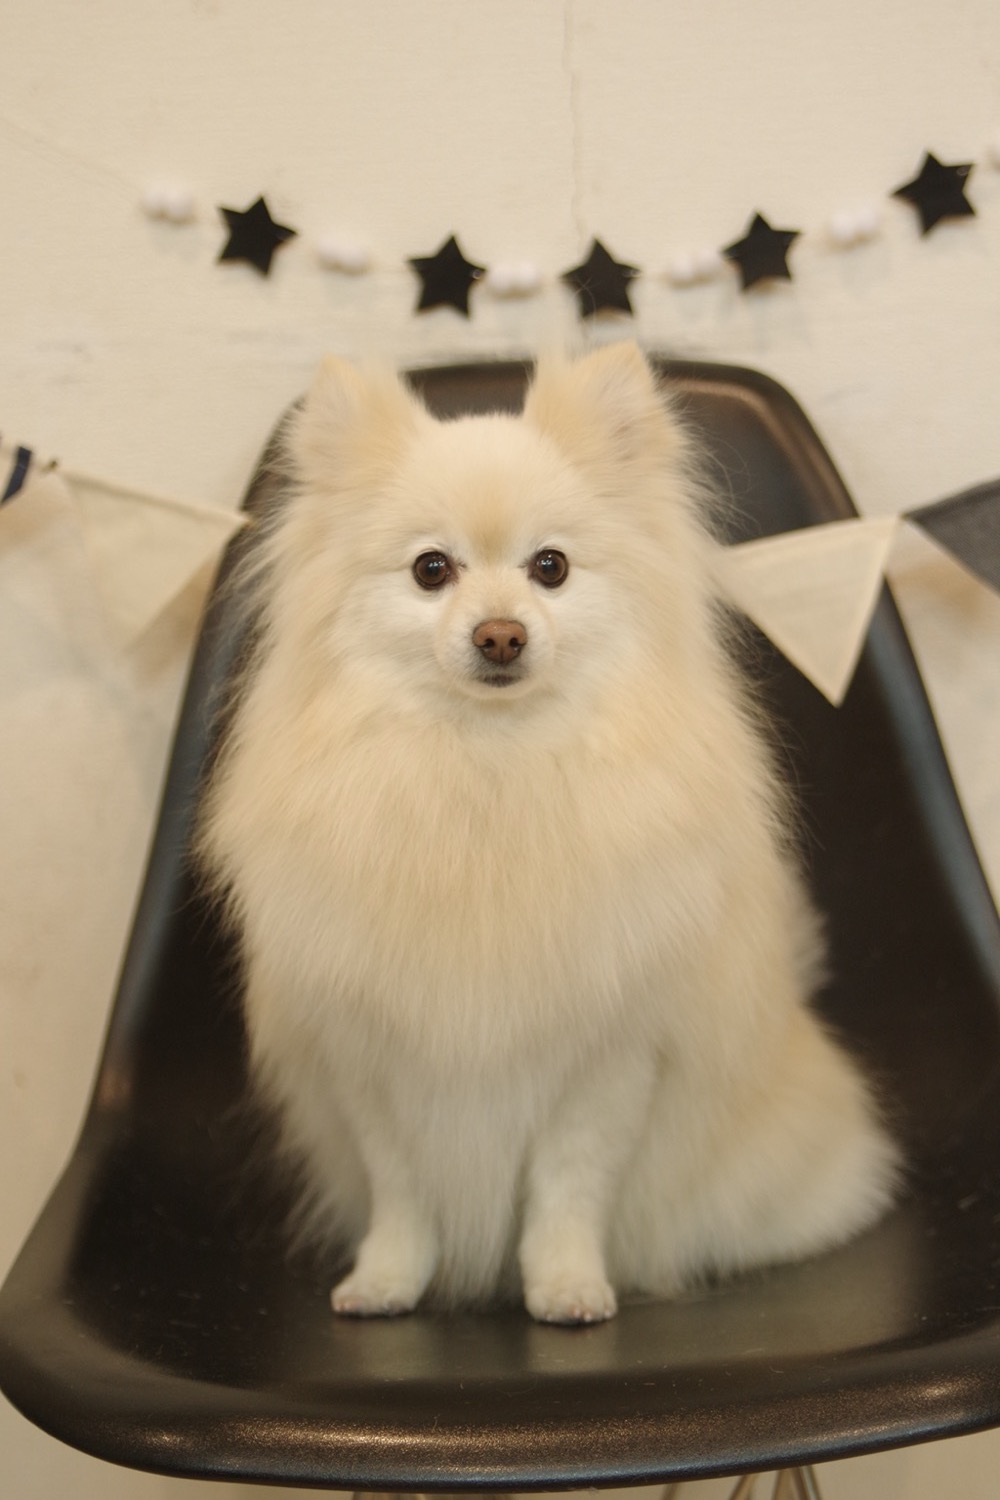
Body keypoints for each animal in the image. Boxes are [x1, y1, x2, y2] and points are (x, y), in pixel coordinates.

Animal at [199, 343, 899, 1324]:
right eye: (431, 570)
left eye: (551, 567)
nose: (501, 635)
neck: (494, 768)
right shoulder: (373, 1058)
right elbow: (401, 1189)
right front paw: (386, 1281)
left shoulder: (607, 1060)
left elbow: (569, 1185)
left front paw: (566, 1286)